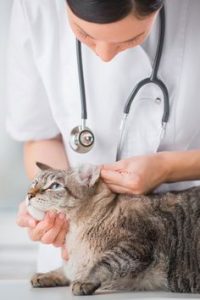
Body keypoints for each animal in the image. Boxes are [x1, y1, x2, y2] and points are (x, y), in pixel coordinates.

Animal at [27, 162, 200, 296]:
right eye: (34, 183)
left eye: (55, 186)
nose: (29, 194)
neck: (74, 234)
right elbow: (64, 270)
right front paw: (44, 275)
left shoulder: (136, 246)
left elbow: (103, 264)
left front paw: (84, 281)